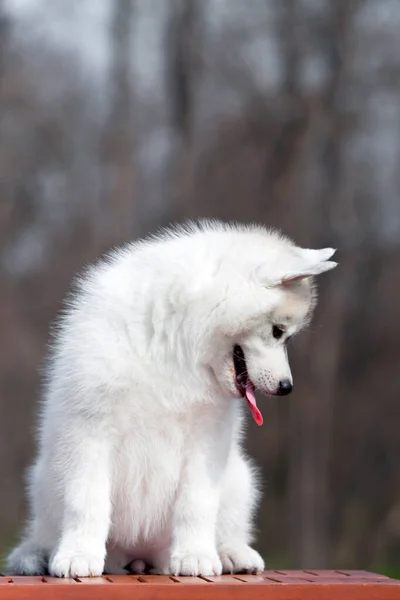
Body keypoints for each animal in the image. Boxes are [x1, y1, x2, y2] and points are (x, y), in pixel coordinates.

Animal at [7, 220, 336, 576]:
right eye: (277, 331)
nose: (287, 387)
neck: (179, 344)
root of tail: (140, 556)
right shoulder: (90, 430)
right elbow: (87, 502)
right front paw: (78, 555)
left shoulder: (206, 441)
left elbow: (196, 504)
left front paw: (195, 555)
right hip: (44, 479)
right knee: (45, 533)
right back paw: (41, 555)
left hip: (240, 478)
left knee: (228, 526)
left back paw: (232, 553)